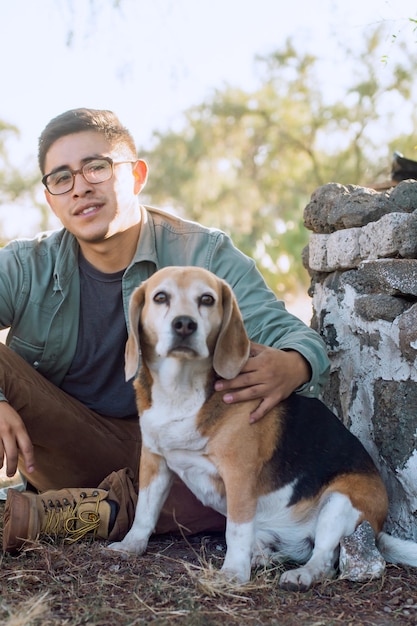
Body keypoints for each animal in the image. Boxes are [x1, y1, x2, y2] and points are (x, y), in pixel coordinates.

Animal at [108, 266, 417, 588]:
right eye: (160, 297)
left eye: (207, 299)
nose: (184, 325)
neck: (181, 388)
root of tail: (378, 532)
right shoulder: (154, 460)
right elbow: (144, 511)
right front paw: (131, 545)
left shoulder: (238, 474)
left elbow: (236, 530)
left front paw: (233, 572)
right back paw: (261, 557)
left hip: (340, 503)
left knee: (323, 559)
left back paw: (301, 575)